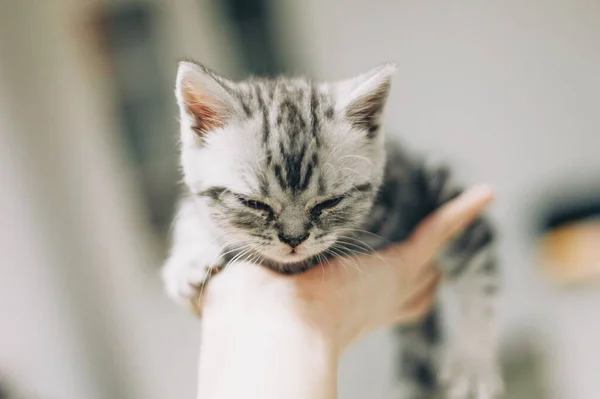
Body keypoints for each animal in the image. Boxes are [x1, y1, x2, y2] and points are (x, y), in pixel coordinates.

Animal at [161, 60, 502, 399]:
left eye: (330, 202)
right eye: (253, 203)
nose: (294, 239)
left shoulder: (437, 189)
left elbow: (479, 277)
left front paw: (472, 363)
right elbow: (190, 213)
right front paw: (187, 260)